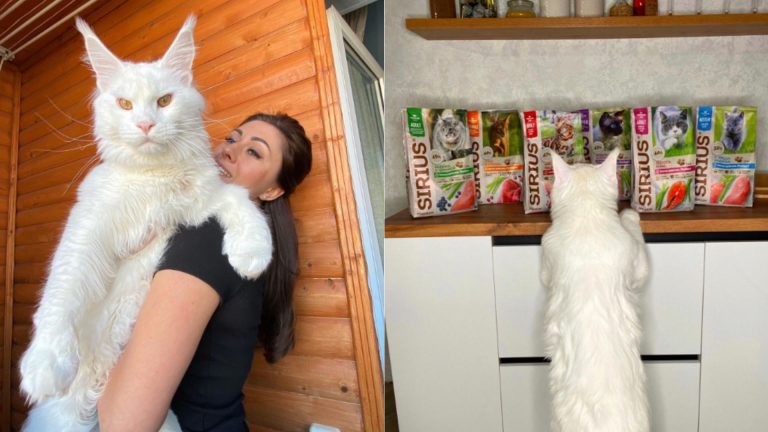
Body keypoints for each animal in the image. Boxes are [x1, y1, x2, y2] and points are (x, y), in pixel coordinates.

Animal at [17, 15, 272, 430]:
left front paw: (252, 253)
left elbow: (240, 201)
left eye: (164, 101)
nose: (146, 125)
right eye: (124, 104)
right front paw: (46, 362)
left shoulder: (201, 201)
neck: (153, 180)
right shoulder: (89, 226)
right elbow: (63, 289)